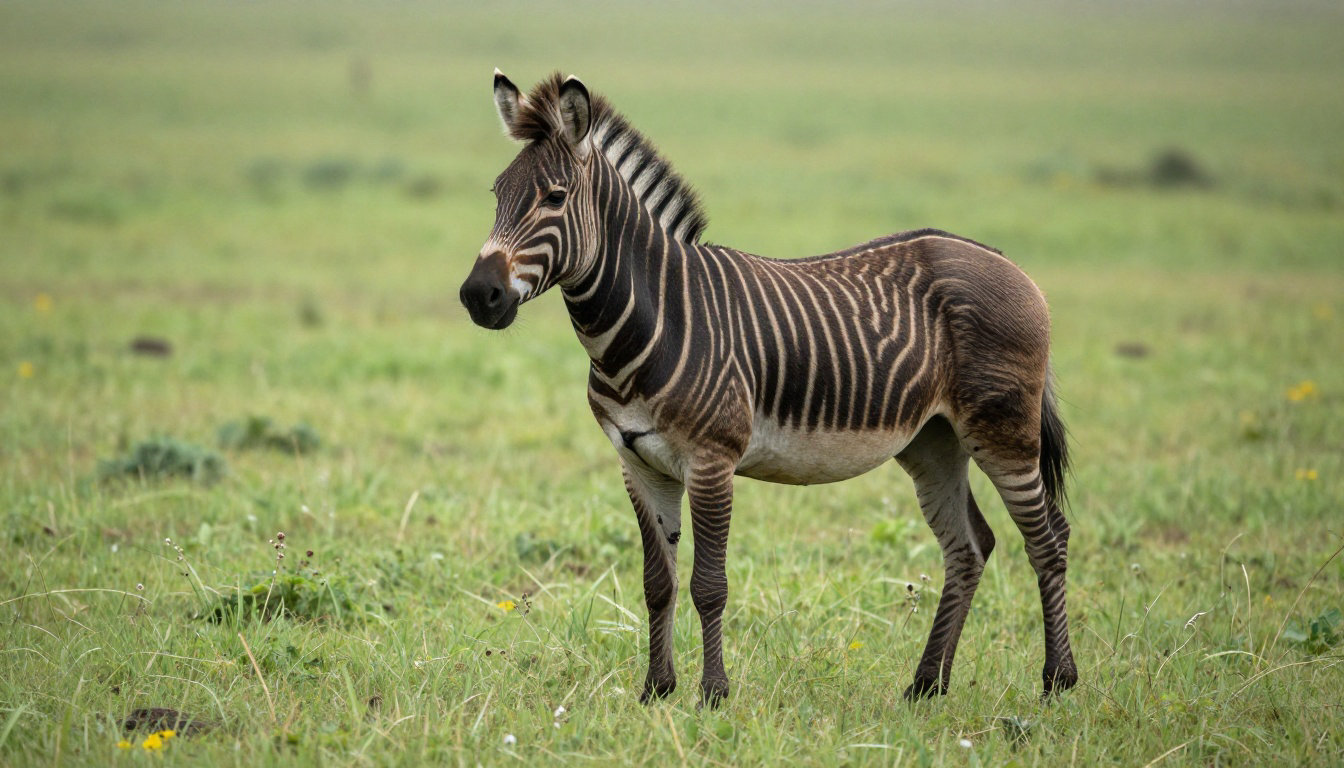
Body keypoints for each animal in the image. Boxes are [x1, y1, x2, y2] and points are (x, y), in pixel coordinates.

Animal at [460, 71, 1077, 707]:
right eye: (497, 194)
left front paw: (712, 694)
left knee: (1048, 539)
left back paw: (1057, 680)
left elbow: (708, 585)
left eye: (554, 198)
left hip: (1004, 432)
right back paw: (928, 684)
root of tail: (1002, 259)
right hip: (933, 441)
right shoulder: (638, 463)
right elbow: (658, 583)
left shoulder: (711, 460)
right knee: (969, 547)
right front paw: (656, 690)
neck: (653, 320)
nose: (478, 296)